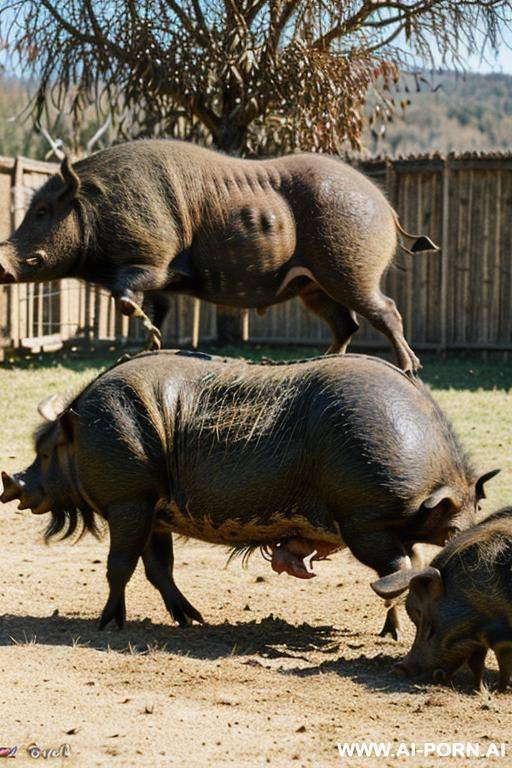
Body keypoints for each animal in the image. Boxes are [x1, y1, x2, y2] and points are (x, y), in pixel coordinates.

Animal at [0, 141, 437, 370]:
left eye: (42, 212)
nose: (2, 265)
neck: (94, 208)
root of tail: (387, 207)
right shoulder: (162, 277)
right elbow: (158, 308)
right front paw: (149, 346)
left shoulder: (155, 257)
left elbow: (128, 288)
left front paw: (136, 323)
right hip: (312, 283)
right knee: (345, 322)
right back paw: (317, 363)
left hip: (348, 258)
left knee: (383, 308)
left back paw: (408, 368)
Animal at [0, 351, 496, 634]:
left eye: (44, 452)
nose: (15, 485)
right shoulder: (148, 508)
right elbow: (156, 568)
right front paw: (187, 621)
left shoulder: (129, 502)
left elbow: (119, 565)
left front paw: (108, 626)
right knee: (404, 568)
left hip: (362, 524)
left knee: (398, 569)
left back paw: (389, 636)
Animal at [372, 508, 512, 691]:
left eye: (428, 624)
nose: (398, 669)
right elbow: (478, 663)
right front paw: (481, 689)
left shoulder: (499, 639)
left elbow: (500, 663)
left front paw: (498, 689)